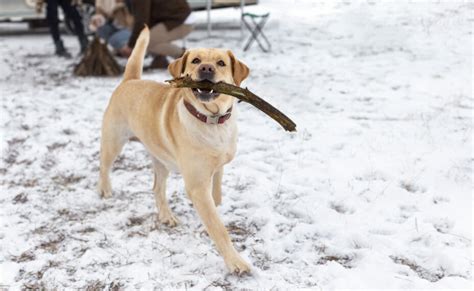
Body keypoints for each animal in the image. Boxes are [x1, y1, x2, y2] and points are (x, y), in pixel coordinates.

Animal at [97, 28, 252, 276]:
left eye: (220, 63)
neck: (212, 121)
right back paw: (104, 189)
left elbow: (217, 199)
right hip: (114, 141)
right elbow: (218, 228)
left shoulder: (218, 170)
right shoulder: (197, 186)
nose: (206, 68)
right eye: (196, 60)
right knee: (103, 165)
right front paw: (235, 261)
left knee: (157, 188)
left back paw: (166, 216)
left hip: (161, 160)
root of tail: (130, 80)